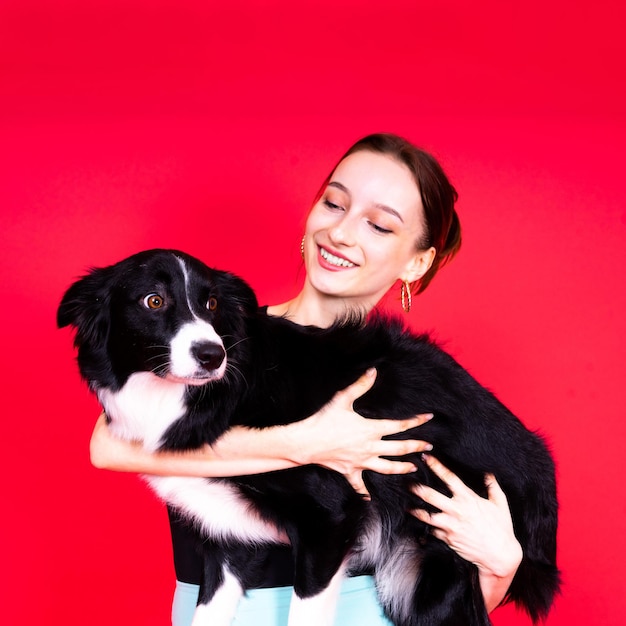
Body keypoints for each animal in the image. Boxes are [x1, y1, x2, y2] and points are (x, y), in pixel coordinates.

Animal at [57, 249, 556, 624]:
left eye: (212, 305)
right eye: (154, 301)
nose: (213, 355)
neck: (208, 399)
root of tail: (539, 464)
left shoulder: (330, 519)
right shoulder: (229, 541)